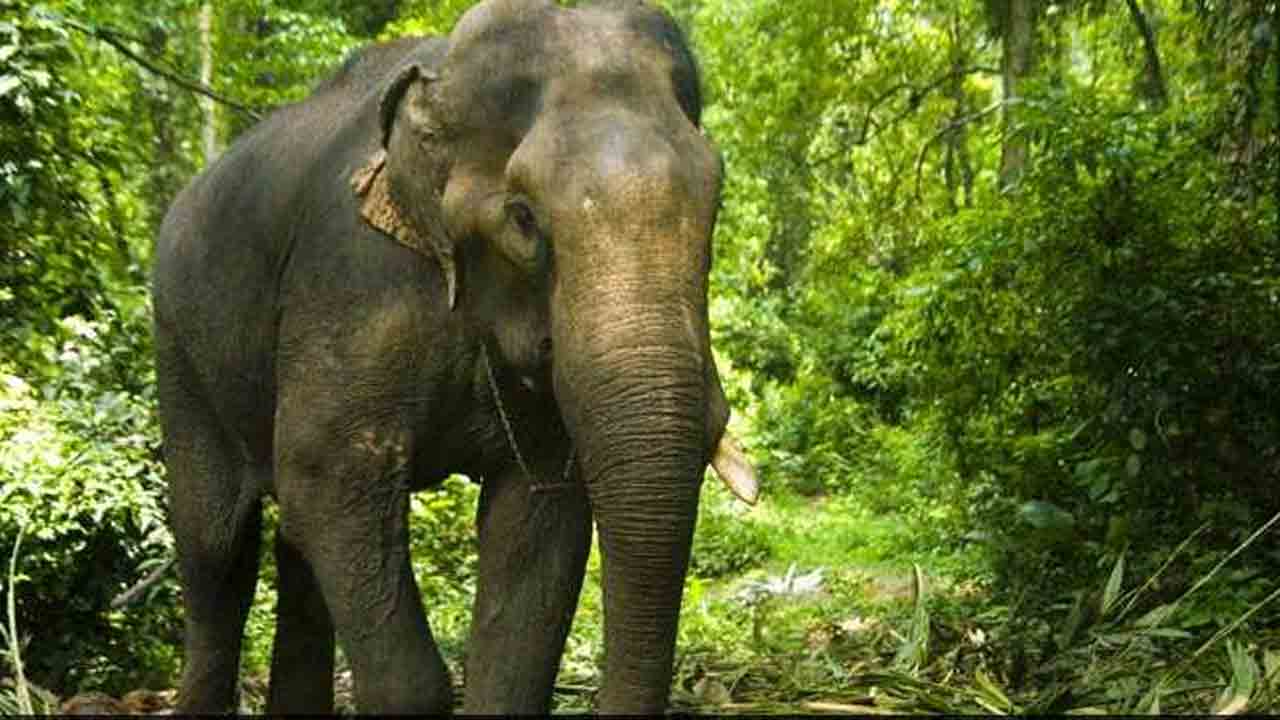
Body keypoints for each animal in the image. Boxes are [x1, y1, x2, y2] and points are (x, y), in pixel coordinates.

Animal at [151, 0, 759, 714]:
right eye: (523, 219)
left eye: (714, 205)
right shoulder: (352, 279)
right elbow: (324, 470)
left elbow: (537, 525)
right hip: (178, 345)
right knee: (217, 545)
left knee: (292, 544)